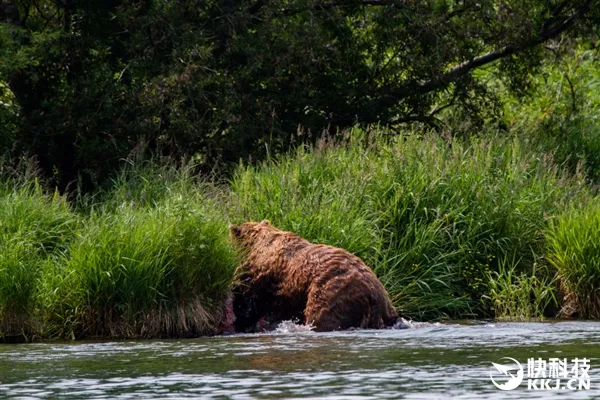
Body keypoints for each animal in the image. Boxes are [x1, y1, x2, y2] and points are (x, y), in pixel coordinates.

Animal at [230, 220, 398, 332]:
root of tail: (372, 294)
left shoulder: (260, 277)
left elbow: (249, 299)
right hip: (386, 307)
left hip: (332, 292)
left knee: (322, 318)